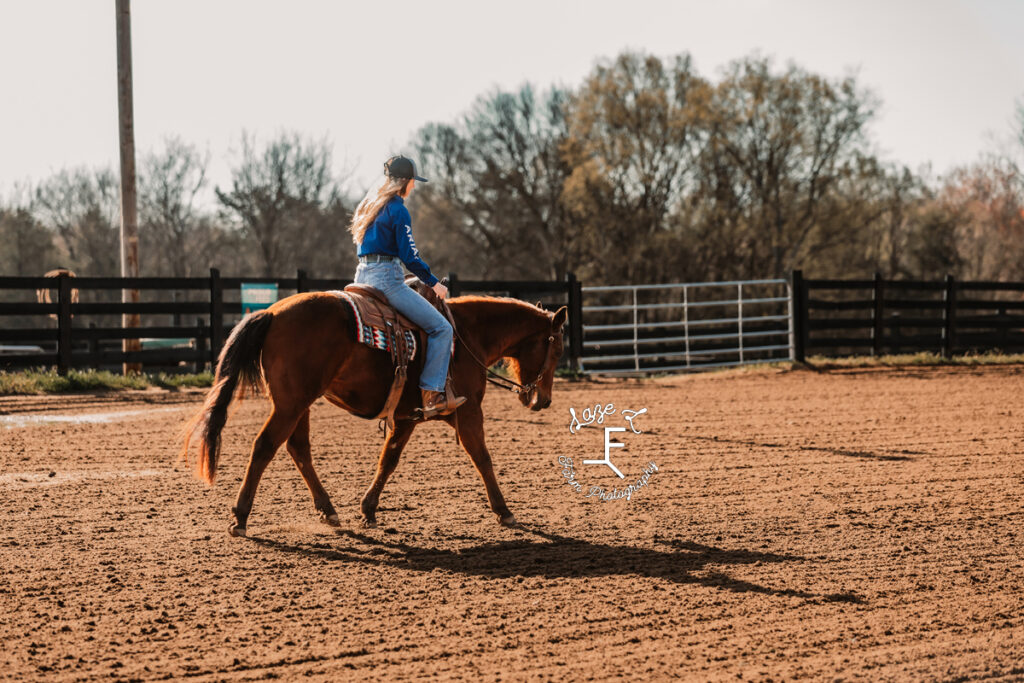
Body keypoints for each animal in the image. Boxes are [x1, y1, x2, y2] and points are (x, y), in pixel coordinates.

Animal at [183, 280, 569, 536]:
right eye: (558, 349)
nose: (543, 400)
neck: (466, 335)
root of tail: (273, 313)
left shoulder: (407, 418)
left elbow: (389, 459)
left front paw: (368, 510)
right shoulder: (469, 410)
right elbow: (483, 457)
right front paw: (505, 512)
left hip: (298, 403)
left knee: (298, 449)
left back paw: (328, 511)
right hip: (290, 404)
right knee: (264, 446)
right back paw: (240, 517)